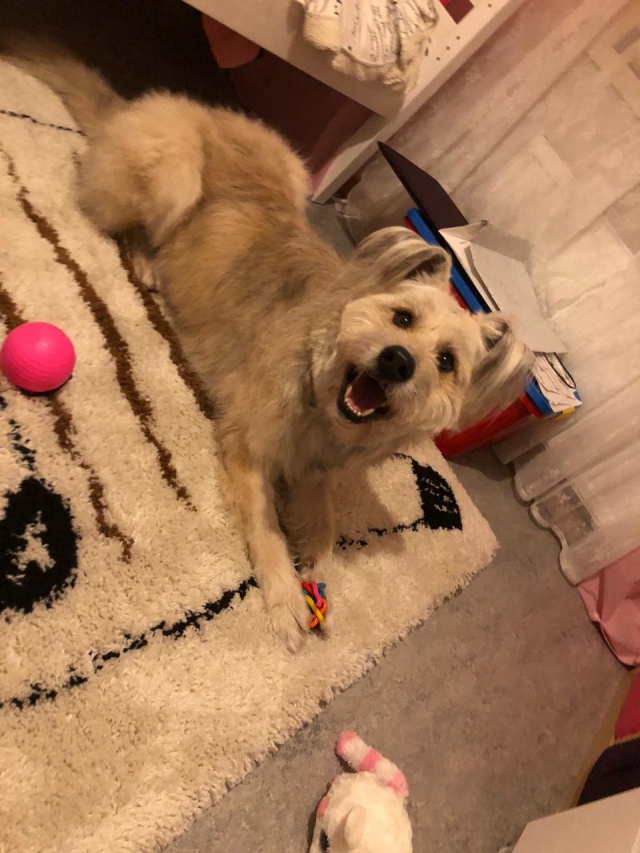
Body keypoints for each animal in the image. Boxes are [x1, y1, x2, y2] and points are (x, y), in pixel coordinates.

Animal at [3, 39, 532, 650]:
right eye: (402, 317)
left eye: (446, 362)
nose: (398, 361)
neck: (319, 395)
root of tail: (187, 108)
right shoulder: (245, 449)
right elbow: (267, 528)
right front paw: (284, 596)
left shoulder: (316, 473)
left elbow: (325, 525)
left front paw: (319, 571)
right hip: (174, 172)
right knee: (132, 218)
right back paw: (145, 259)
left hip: (292, 170)